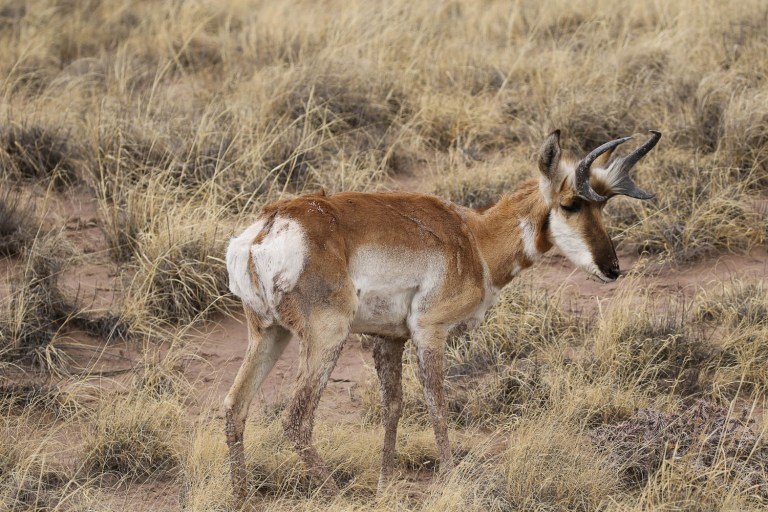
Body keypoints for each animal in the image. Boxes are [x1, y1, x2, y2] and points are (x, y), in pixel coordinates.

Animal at [223, 129, 661, 504]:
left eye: (603, 205)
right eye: (569, 204)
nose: (612, 269)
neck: (473, 237)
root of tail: (268, 228)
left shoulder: (389, 339)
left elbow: (393, 407)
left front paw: (385, 486)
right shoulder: (429, 332)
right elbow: (438, 405)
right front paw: (450, 479)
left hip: (269, 334)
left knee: (234, 407)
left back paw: (243, 499)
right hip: (325, 337)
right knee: (296, 420)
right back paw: (338, 497)